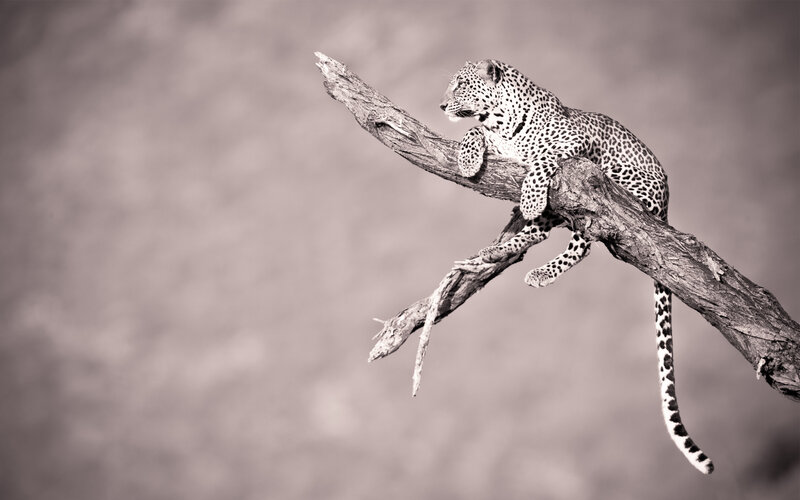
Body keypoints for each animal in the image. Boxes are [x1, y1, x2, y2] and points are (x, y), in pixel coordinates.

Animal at [440, 59, 713, 474]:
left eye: (461, 85)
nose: (441, 105)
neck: (500, 121)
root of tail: (666, 205)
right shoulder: (495, 139)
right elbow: (474, 131)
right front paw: (469, 160)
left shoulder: (572, 143)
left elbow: (540, 160)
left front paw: (530, 195)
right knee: (542, 234)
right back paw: (495, 252)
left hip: (607, 187)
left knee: (585, 239)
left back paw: (535, 262)